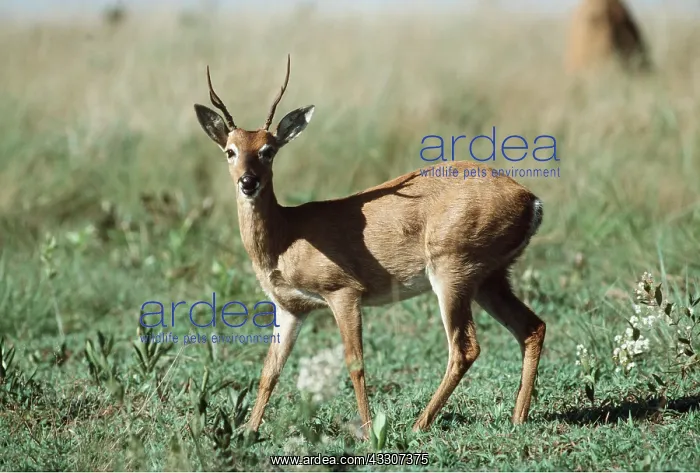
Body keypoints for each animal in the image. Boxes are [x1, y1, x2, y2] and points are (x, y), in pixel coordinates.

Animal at [193, 55, 547, 438]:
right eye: (230, 150)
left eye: (268, 150)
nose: (248, 182)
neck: (287, 235)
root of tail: (529, 198)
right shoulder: (290, 309)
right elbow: (270, 370)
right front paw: (249, 431)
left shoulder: (344, 294)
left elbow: (355, 362)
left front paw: (367, 430)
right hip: (490, 281)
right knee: (531, 328)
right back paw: (517, 418)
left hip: (453, 276)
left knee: (465, 348)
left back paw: (419, 424)